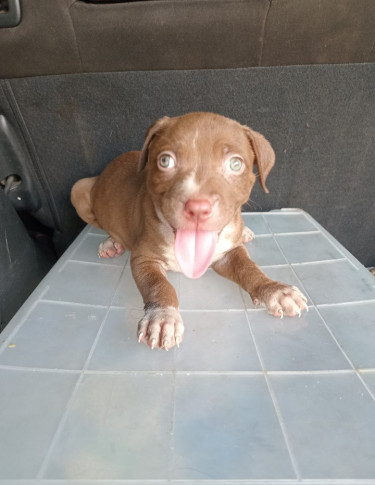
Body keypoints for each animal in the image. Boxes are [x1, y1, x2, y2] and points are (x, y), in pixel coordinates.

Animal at [71, 112, 308, 350]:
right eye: (165, 161)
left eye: (235, 164)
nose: (198, 208)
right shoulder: (144, 258)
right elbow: (158, 284)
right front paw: (162, 317)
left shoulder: (227, 253)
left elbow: (248, 267)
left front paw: (275, 289)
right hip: (78, 188)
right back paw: (111, 243)